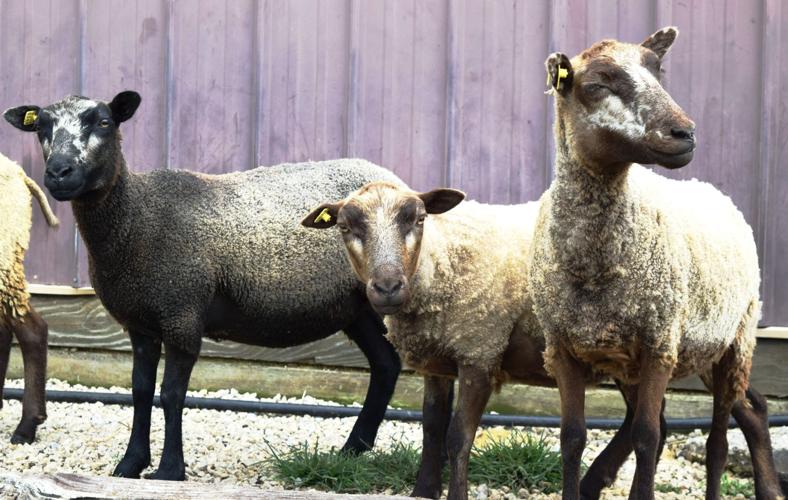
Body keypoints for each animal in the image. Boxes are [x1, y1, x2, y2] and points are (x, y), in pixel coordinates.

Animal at [3, 91, 406, 481]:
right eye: (40, 126)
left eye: (103, 122)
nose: (59, 173)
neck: (137, 218)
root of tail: (392, 178)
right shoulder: (140, 324)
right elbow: (140, 390)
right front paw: (130, 465)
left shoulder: (182, 313)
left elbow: (171, 394)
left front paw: (169, 470)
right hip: (356, 307)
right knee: (386, 365)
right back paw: (352, 450)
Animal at [528, 27, 783, 499]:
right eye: (597, 84)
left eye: (658, 71)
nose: (685, 133)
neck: (596, 268)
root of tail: (713, 189)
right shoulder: (564, 349)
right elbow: (572, 438)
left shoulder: (659, 345)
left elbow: (647, 438)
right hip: (675, 354)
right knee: (748, 408)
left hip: (733, 341)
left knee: (718, 439)